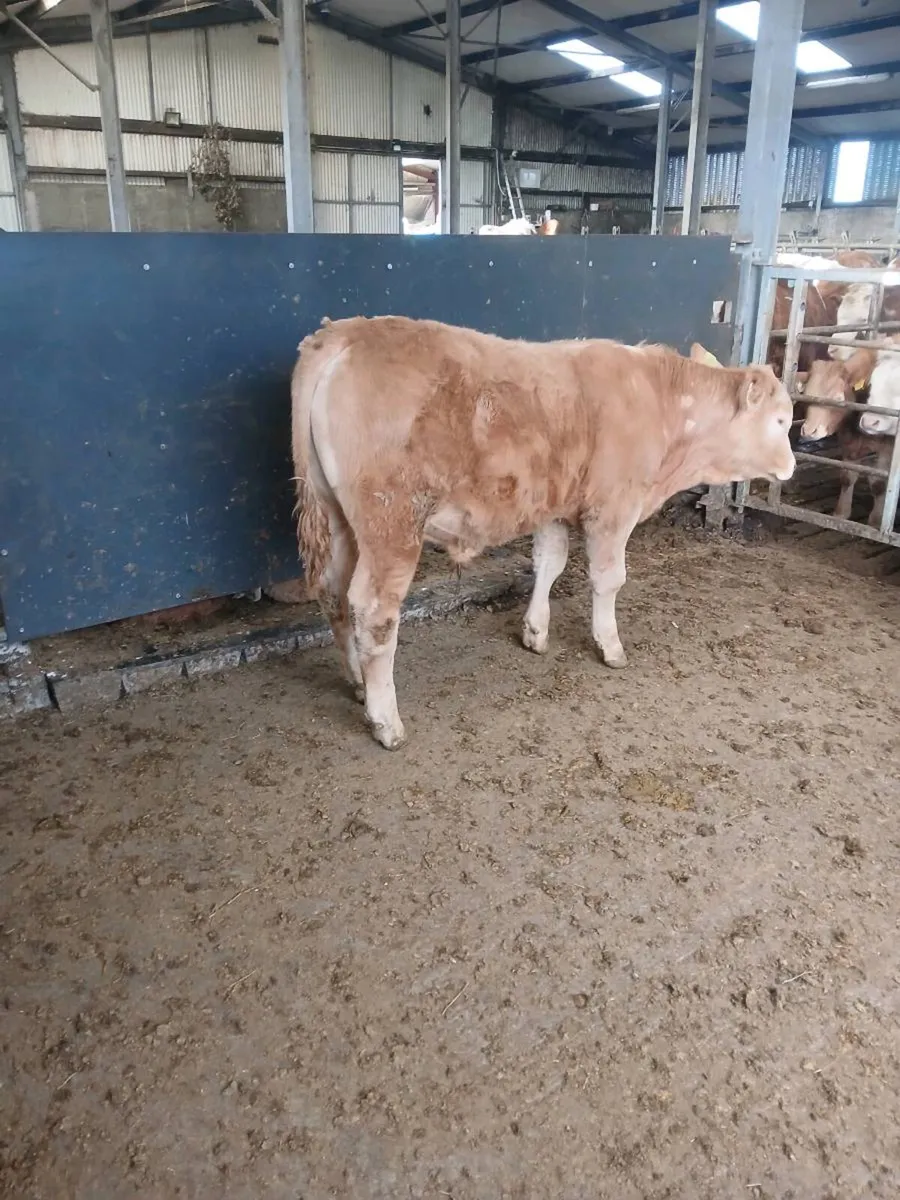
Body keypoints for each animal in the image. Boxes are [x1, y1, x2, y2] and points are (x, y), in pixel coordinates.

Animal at [291, 316, 795, 749]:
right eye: (780, 421)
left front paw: (535, 632)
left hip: (339, 516)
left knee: (335, 592)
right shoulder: (614, 506)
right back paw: (386, 721)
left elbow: (549, 564)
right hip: (392, 522)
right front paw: (609, 645)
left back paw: (357, 682)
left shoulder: (555, 504)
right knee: (374, 610)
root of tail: (344, 334)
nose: (791, 465)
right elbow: (608, 579)